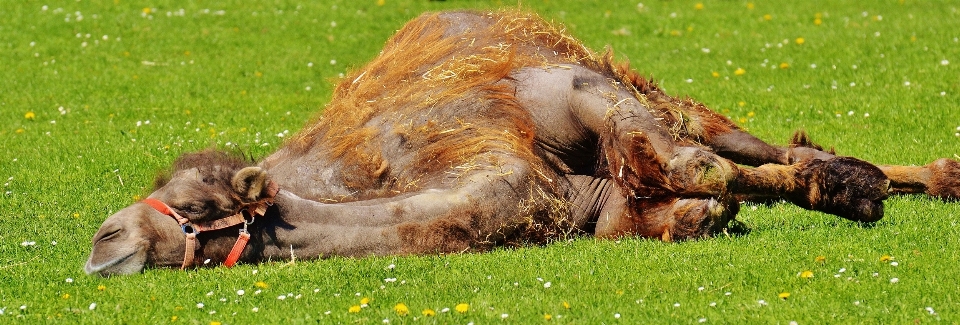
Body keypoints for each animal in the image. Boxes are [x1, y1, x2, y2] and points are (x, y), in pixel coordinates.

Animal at [86, 10, 956, 274]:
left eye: (196, 197)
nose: (102, 238)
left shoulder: (564, 99)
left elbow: (704, 168)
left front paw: (854, 188)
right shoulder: (602, 212)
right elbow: (680, 205)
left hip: (633, 83)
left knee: (742, 144)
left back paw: (909, 174)